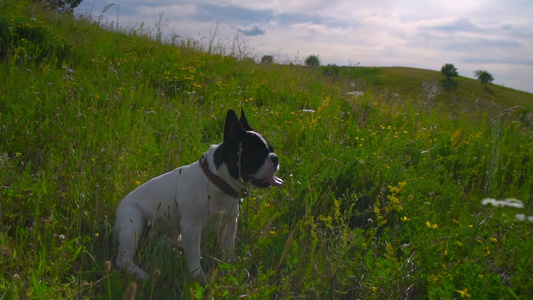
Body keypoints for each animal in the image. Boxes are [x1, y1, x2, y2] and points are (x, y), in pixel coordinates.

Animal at [112, 109, 282, 280]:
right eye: (257, 154)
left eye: (272, 149)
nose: (275, 158)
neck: (217, 181)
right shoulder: (192, 227)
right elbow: (194, 255)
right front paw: (199, 277)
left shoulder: (230, 222)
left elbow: (228, 246)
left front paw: (230, 265)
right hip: (133, 222)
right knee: (123, 258)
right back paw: (140, 274)